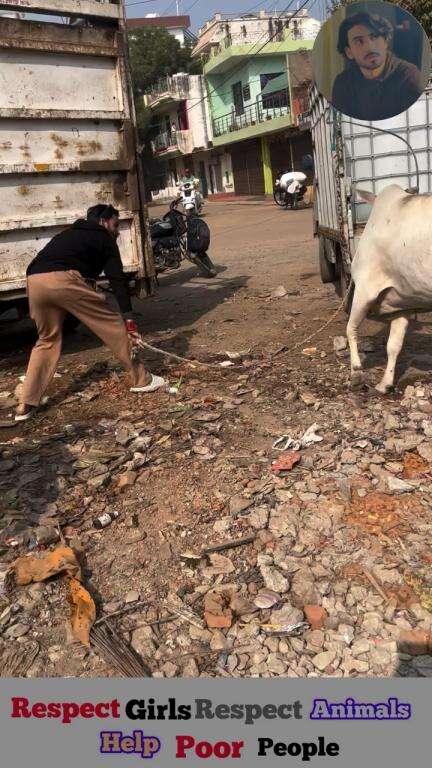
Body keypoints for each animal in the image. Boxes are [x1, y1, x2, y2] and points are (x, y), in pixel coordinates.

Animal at [346, 183, 432, 392]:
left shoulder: (365, 288)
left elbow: (350, 328)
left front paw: (355, 370)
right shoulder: (403, 303)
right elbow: (394, 345)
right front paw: (385, 383)